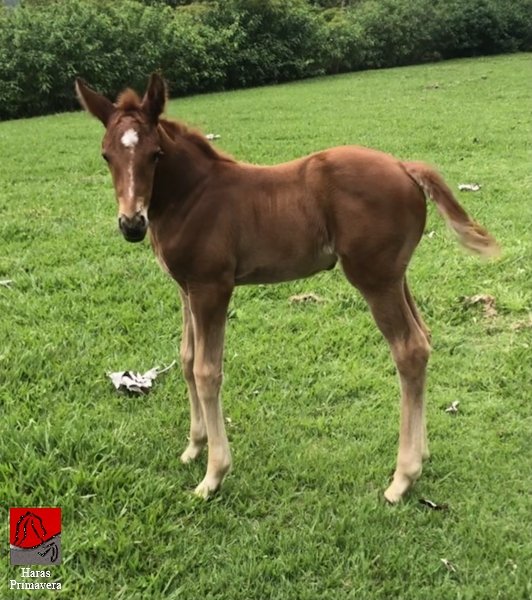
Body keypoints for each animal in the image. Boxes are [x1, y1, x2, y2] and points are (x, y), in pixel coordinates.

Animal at [75, 73, 499, 503]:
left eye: (156, 154)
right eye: (106, 155)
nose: (131, 224)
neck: (191, 196)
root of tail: (403, 166)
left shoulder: (212, 287)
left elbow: (207, 371)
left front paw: (213, 474)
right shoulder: (186, 288)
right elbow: (186, 358)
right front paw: (194, 447)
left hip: (374, 278)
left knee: (409, 349)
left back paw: (402, 478)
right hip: (396, 276)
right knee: (424, 338)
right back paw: (421, 453)